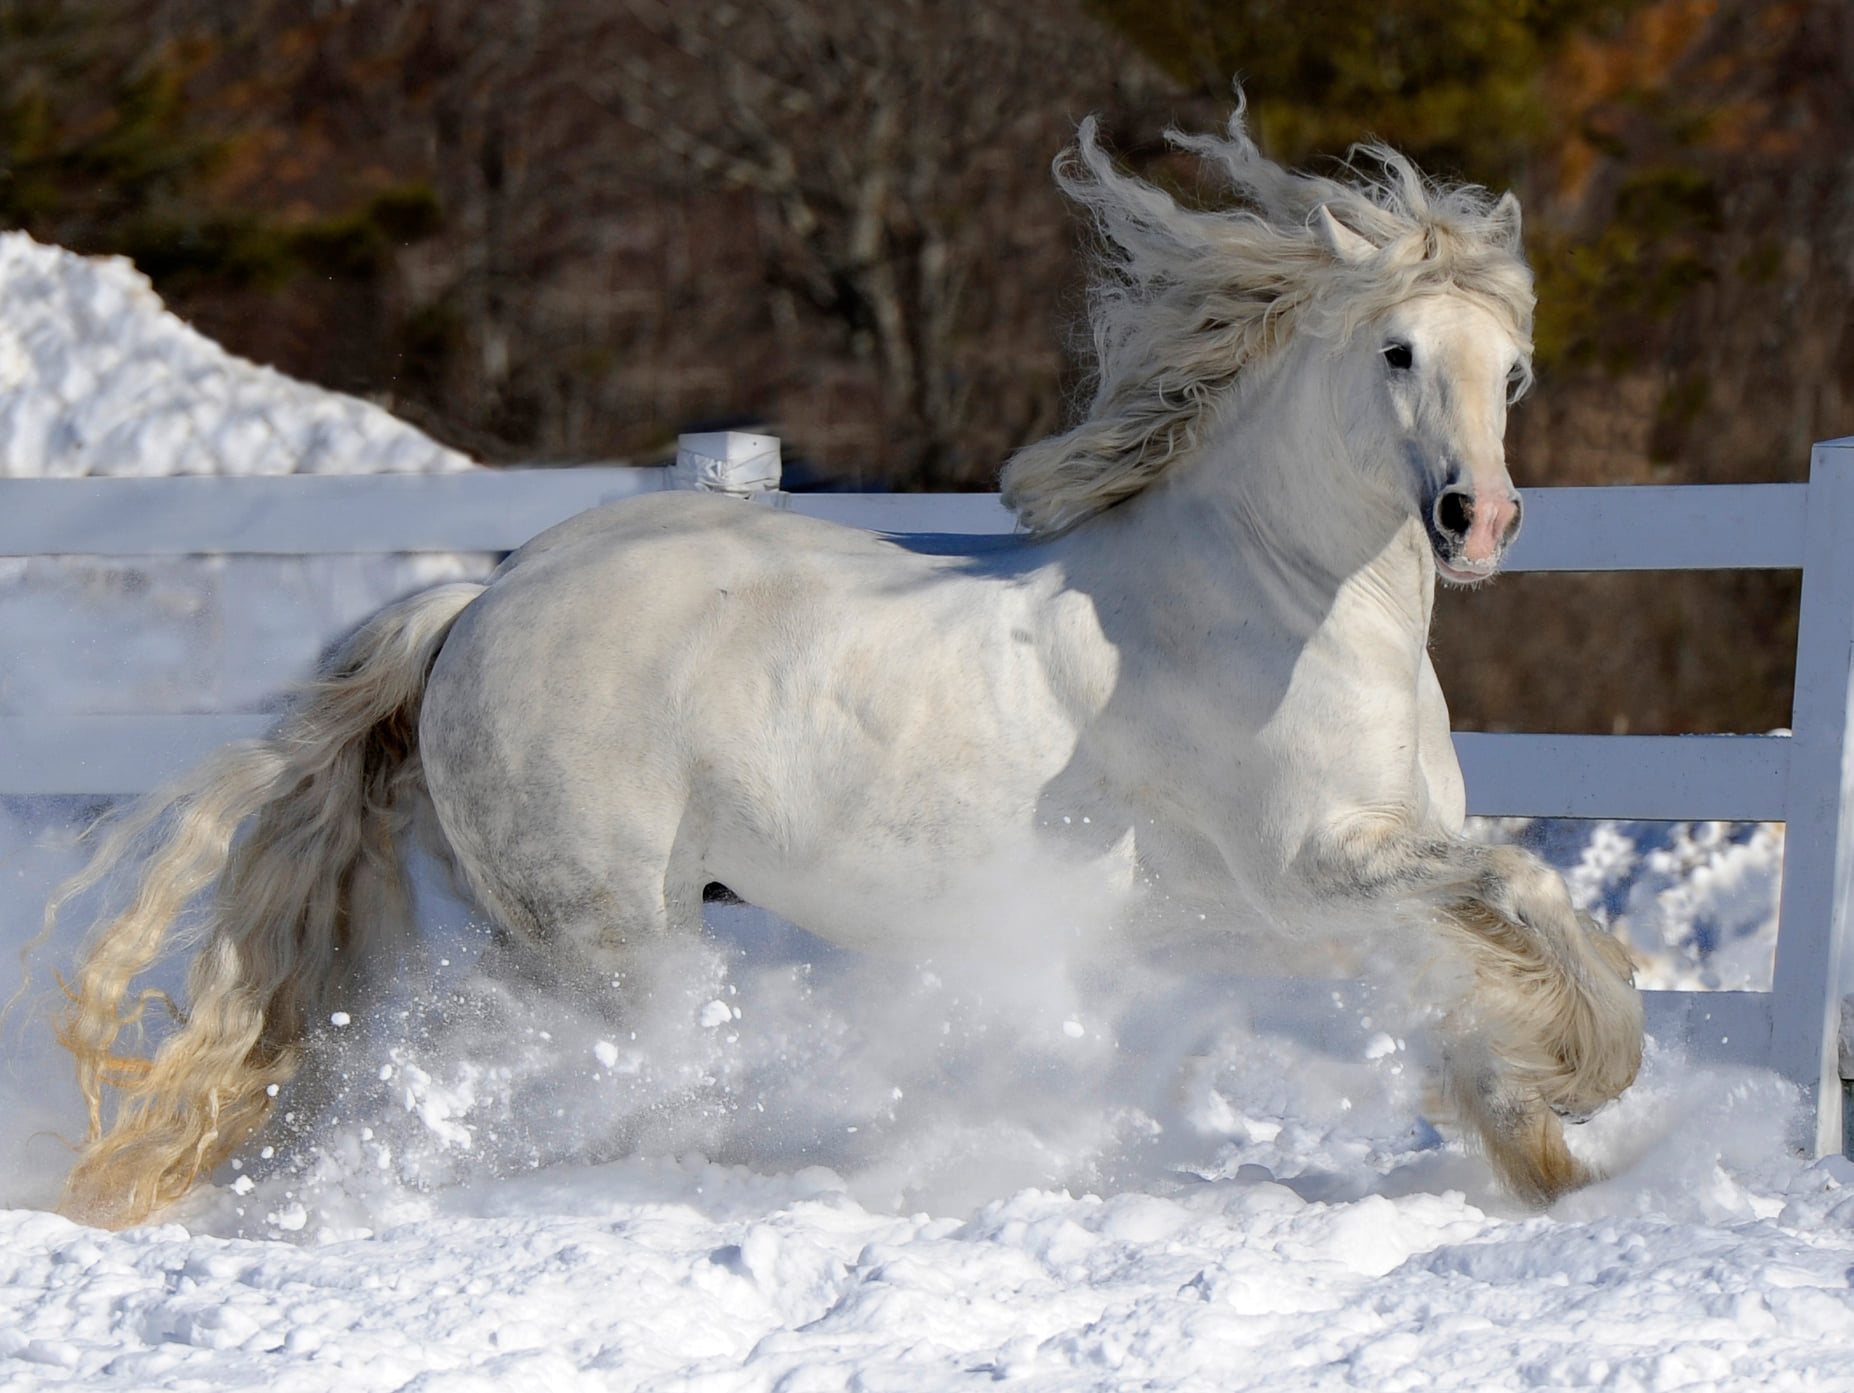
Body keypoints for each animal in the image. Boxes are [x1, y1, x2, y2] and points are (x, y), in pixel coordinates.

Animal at [43, 103, 1638, 1224]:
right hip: (617, 933)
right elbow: (1523, 885)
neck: (1278, 604)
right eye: (1395, 352)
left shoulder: (1328, 895)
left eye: (1508, 370)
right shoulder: (1311, 865)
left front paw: (1549, 1155)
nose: (1477, 520)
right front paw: (1597, 1074)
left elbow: (1470, 973)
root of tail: (483, 601)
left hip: (559, 930)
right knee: (622, 1082)